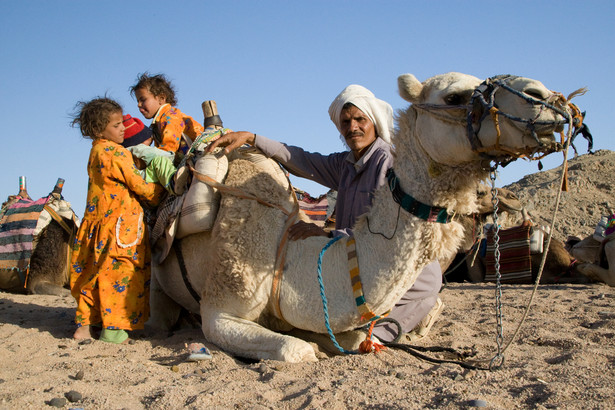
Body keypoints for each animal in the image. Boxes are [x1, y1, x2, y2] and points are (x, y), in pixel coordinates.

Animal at [152, 71, 576, 362]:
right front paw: (311, 347)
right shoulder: (220, 310)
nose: (544, 97)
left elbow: (352, 338)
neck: (284, 256)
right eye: (454, 96)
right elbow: (296, 351)